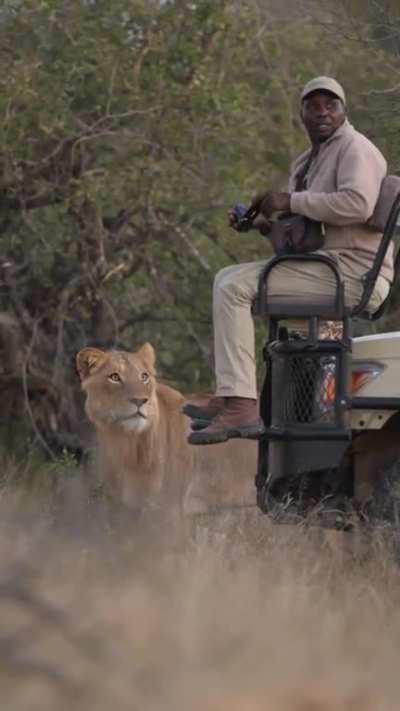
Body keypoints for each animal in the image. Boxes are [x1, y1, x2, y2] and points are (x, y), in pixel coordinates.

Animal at [76, 342, 258, 516]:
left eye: (144, 376)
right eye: (114, 377)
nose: (140, 400)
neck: (126, 444)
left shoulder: (169, 509)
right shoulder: (123, 509)